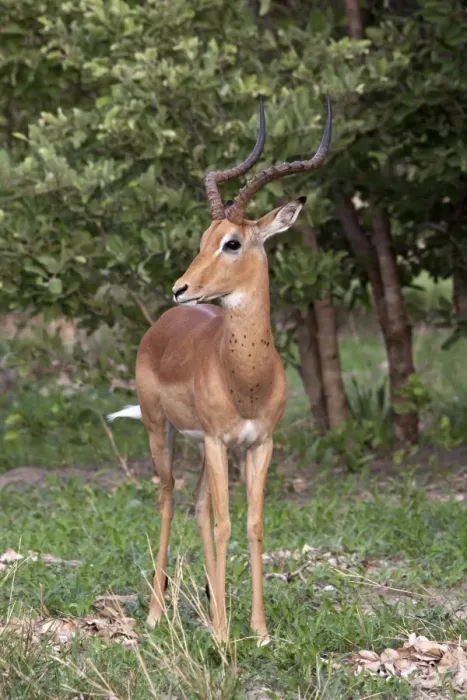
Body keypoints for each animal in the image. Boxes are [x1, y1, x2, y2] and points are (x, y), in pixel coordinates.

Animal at [108, 96, 332, 644]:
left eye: (232, 242)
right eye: (204, 236)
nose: (181, 288)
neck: (247, 379)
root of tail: (162, 324)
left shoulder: (258, 444)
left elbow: (252, 525)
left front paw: (258, 629)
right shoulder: (215, 440)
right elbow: (226, 525)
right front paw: (226, 635)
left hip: (206, 449)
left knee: (198, 507)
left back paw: (210, 609)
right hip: (161, 430)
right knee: (169, 500)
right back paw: (156, 614)